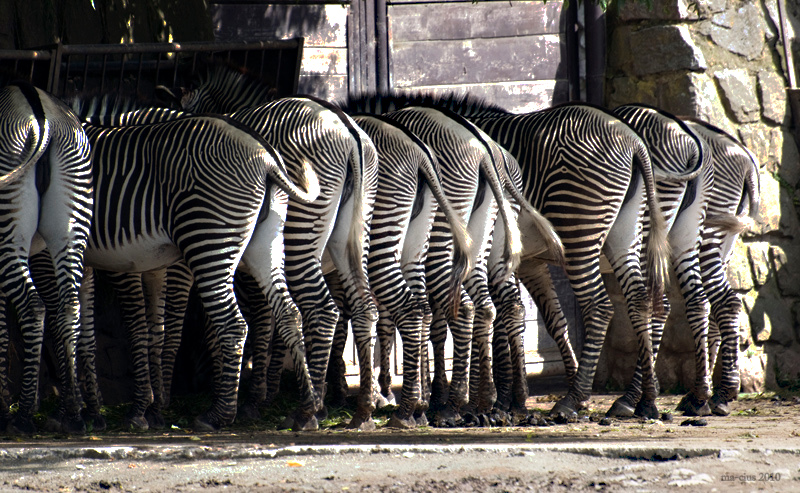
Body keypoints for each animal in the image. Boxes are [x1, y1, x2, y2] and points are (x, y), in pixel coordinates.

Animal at [0, 81, 94, 434]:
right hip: (71, 226)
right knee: (69, 307)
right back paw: (73, 414)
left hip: (8, 227)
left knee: (32, 306)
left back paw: (23, 415)